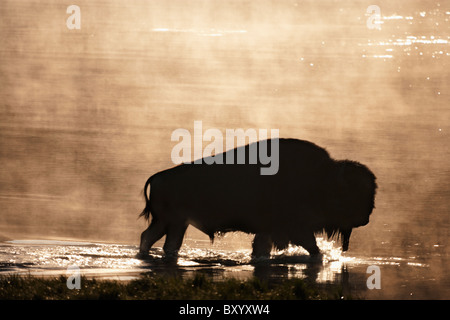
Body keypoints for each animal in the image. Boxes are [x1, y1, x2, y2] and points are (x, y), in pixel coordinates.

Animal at [137, 139, 376, 258]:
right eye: (354, 193)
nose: (366, 219)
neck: (324, 178)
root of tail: (158, 177)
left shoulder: (271, 231)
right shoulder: (294, 229)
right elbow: (312, 247)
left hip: (173, 224)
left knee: (152, 239)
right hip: (174, 223)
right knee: (158, 241)